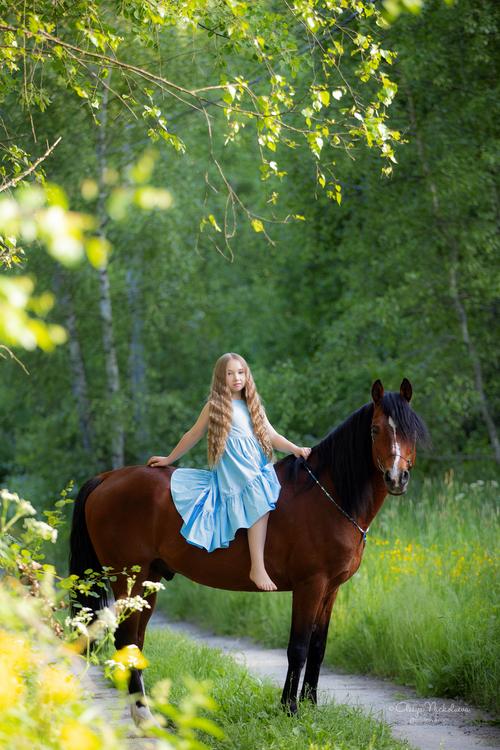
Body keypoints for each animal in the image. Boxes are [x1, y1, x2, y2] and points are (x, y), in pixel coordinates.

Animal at [69, 378, 428, 721]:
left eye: (411, 431)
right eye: (375, 429)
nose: (397, 478)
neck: (328, 496)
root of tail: (106, 478)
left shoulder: (331, 589)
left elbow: (318, 646)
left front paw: (311, 706)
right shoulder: (310, 585)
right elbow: (298, 647)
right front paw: (290, 709)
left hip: (149, 581)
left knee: (136, 641)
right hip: (128, 579)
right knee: (125, 639)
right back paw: (143, 715)